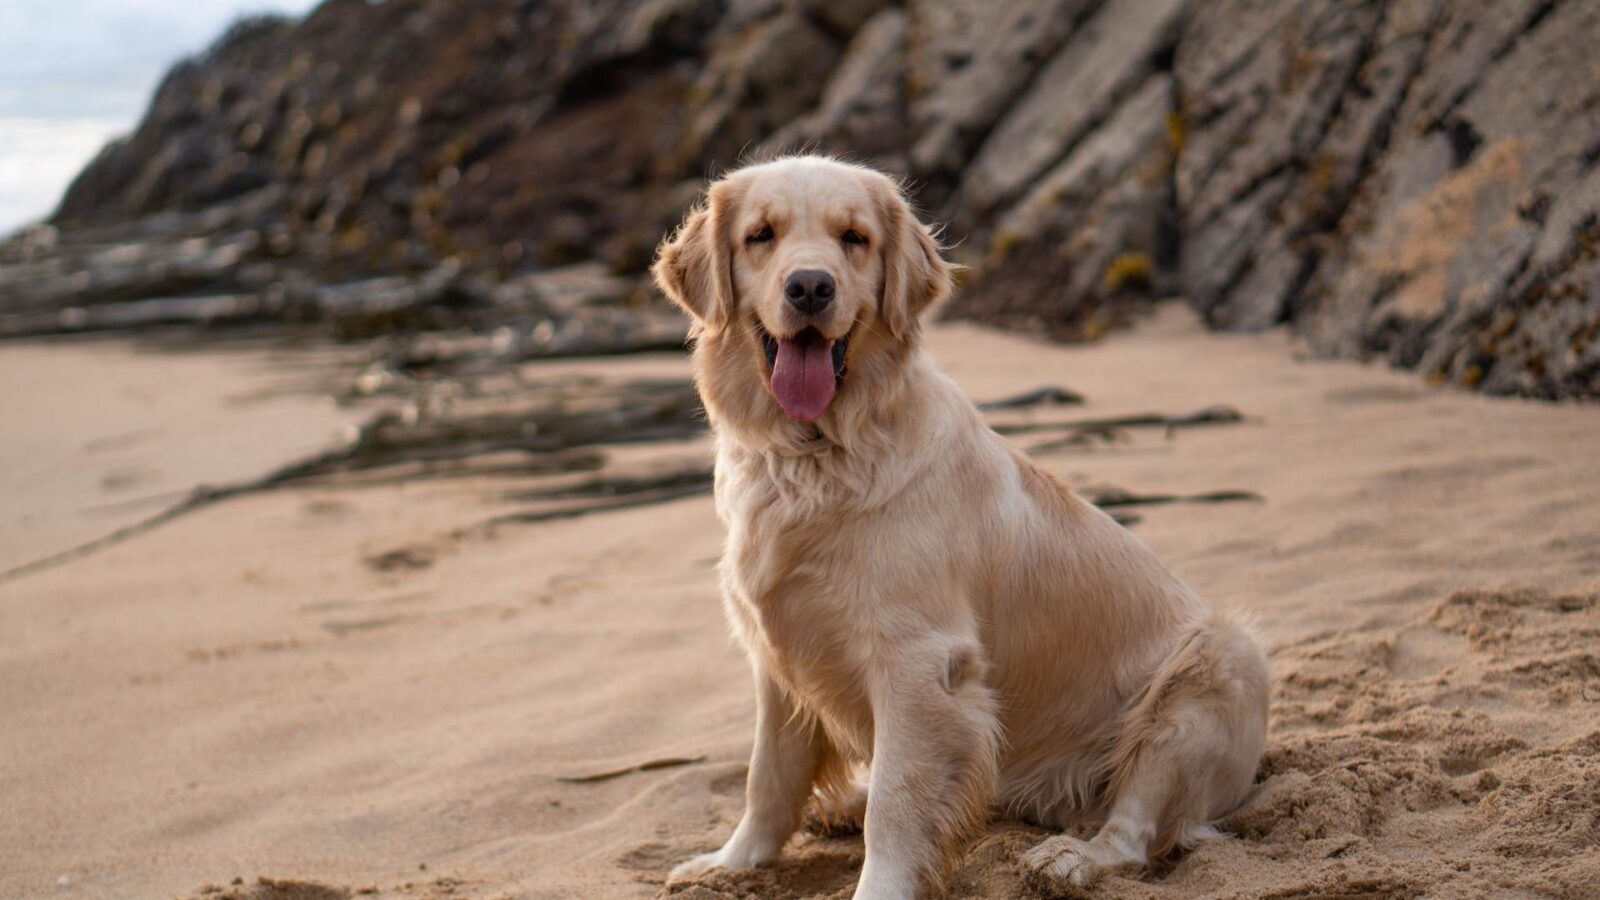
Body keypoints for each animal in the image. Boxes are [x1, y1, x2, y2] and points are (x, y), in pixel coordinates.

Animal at [646, 157, 1260, 890]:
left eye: (854, 239)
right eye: (760, 235)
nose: (811, 287)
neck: (818, 454)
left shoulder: (919, 663)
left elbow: (896, 804)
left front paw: (879, 888)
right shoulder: (776, 650)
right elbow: (767, 777)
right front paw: (730, 864)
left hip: (1209, 677)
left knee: (1134, 828)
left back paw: (1070, 857)